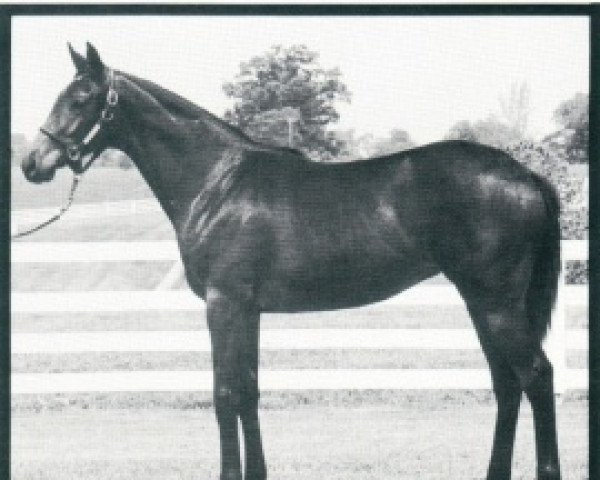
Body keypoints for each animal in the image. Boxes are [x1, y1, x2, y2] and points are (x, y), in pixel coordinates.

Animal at [19, 42, 564, 480]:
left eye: (80, 99)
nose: (31, 163)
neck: (216, 181)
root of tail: (525, 175)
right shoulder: (248, 310)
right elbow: (249, 391)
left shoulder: (223, 305)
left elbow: (224, 395)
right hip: (480, 302)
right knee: (506, 383)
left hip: (495, 303)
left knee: (536, 376)